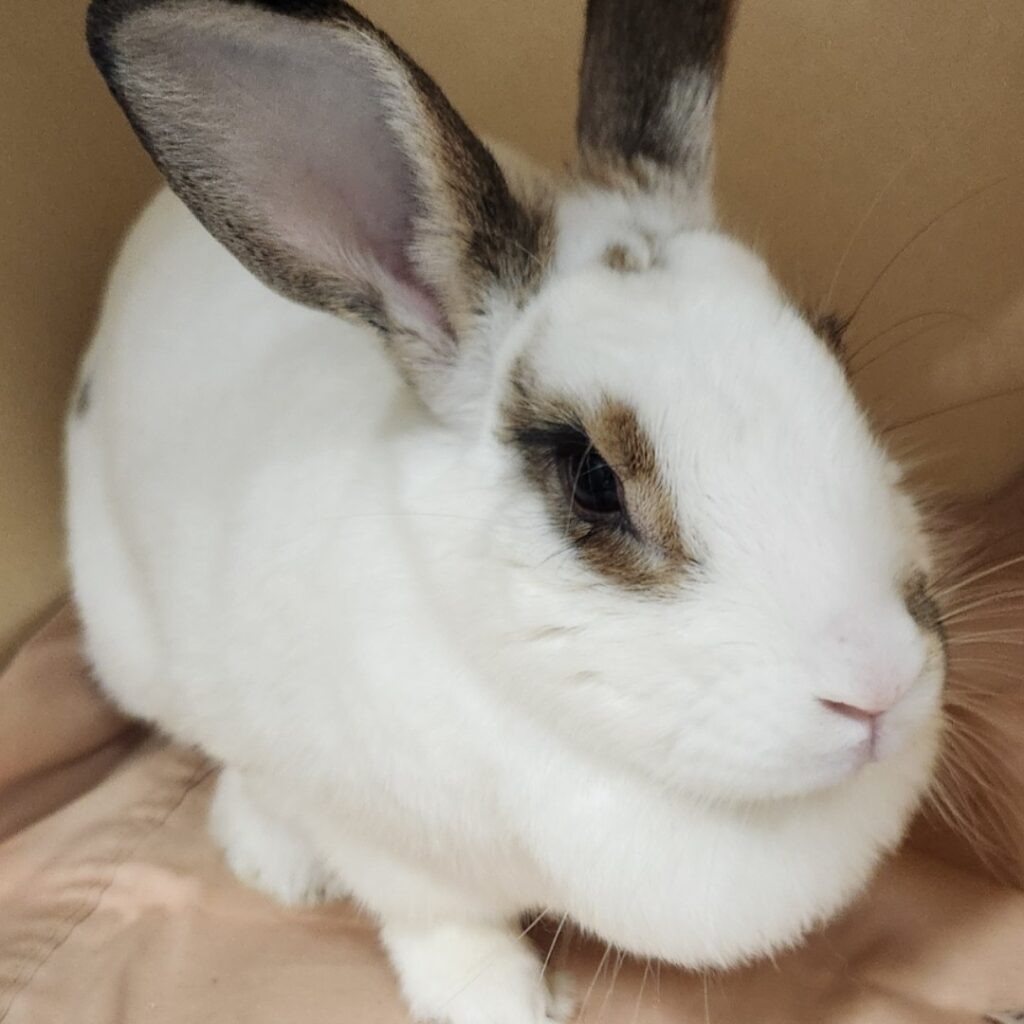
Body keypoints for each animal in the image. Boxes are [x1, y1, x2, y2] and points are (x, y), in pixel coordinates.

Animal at [67, 1, 947, 1022]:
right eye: (590, 477)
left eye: (835, 359)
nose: (882, 682)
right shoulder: (390, 852)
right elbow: (447, 927)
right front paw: (501, 1002)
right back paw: (277, 860)